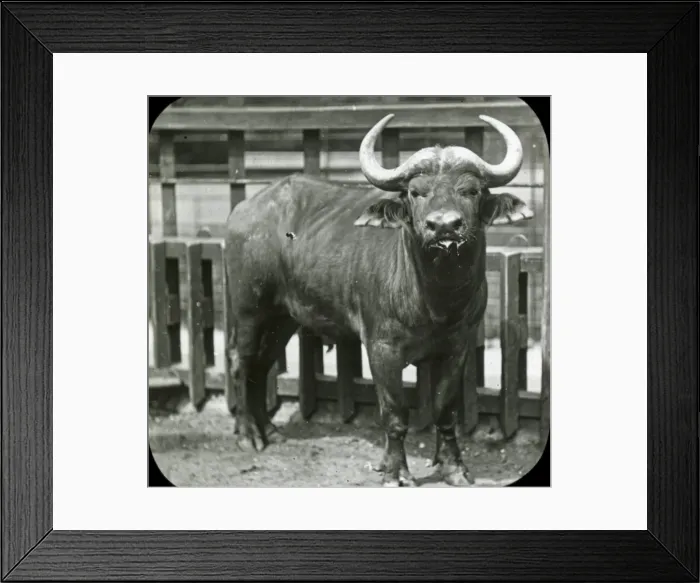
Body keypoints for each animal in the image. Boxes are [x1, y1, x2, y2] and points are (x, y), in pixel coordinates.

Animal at [224, 113, 533, 487]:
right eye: (416, 192)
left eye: (471, 191)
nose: (444, 226)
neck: (436, 300)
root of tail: (243, 210)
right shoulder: (382, 348)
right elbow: (395, 412)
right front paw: (396, 472)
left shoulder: (458, 346)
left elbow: (445, 409)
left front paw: (454, 468)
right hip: (249, 310)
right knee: (240, 361)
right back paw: (247, 435)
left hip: (281, 318)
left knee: (261, 364)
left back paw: (269, 431)